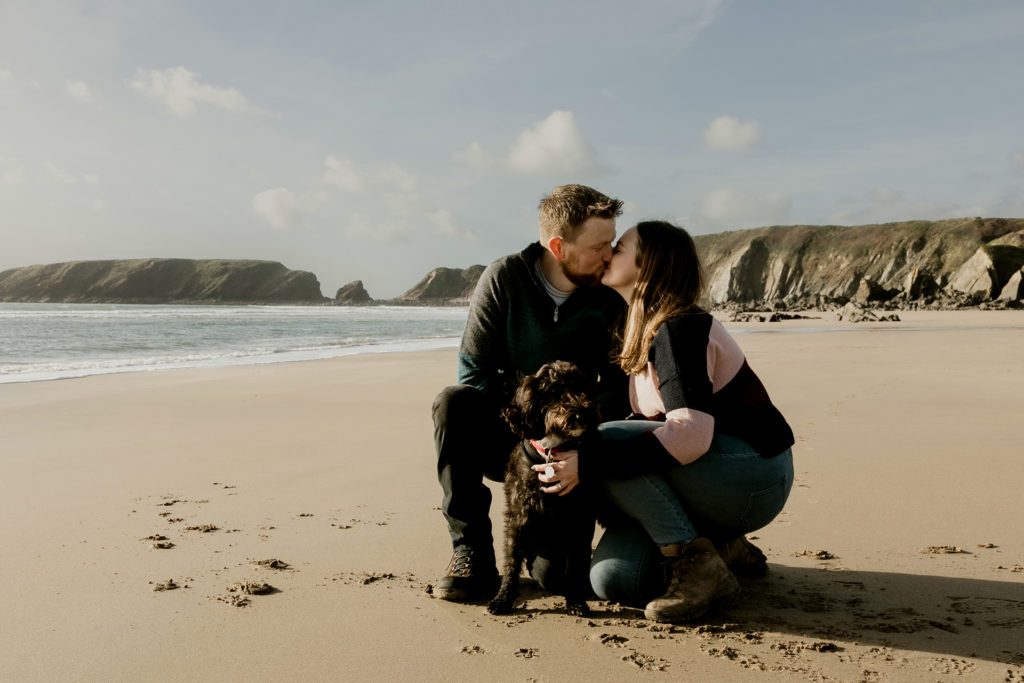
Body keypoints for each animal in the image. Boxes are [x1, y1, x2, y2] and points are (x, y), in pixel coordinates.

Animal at [485, 360, 598, 618]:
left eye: (580, 388)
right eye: (554, 392)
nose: (583, 413)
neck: (549, 452)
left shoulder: (575, 517)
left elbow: (574, 564)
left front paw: (575, 601)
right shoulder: (519, 513)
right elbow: (511, 559)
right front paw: (503, 599)